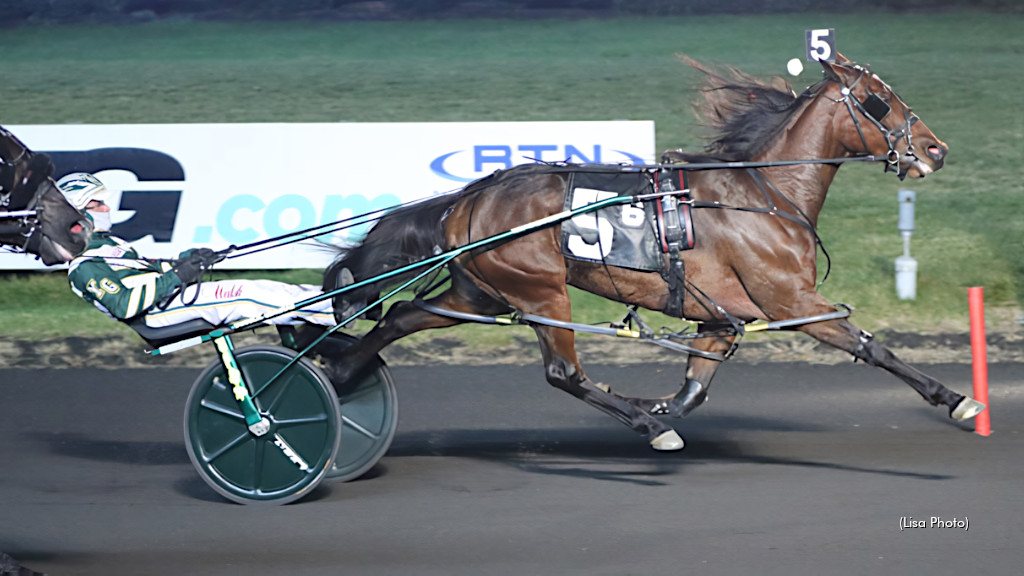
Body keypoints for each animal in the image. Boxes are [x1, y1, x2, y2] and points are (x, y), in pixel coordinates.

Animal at [323, 53, 987, 448]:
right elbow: (872, 346)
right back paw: (644, 426)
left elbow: (694, 388)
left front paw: (659, 404)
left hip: (481, 292)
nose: (935, 149)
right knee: (564, 373)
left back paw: (342, 371)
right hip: (540, 292)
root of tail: (470, 196)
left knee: (400, 317)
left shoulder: (721, 316)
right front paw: (957, 401)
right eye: (879, 100)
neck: (759, 193)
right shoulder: (791, 302)